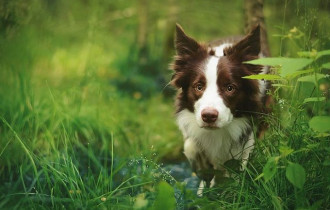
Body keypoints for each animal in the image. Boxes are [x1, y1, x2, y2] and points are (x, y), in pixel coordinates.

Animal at [171, 23, 270, 194]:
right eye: (199, 86)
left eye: (230, 88)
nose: (209, 116)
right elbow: (194, 149)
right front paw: (204, 191)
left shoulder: (246, 134)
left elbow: (238, 163)